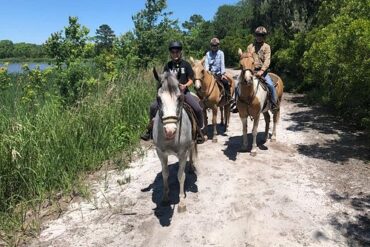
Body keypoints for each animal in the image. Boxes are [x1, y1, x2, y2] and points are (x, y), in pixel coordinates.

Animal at [152, 68, 198, 213]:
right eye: (158, 99)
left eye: (179, 97)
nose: (170, 130)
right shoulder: (161, 153)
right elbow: (165, 174)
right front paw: (165, 198)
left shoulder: (182, 153)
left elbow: (180, 176)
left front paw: (182, 202)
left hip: (192, 143)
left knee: (192, 152)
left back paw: (191, 167)